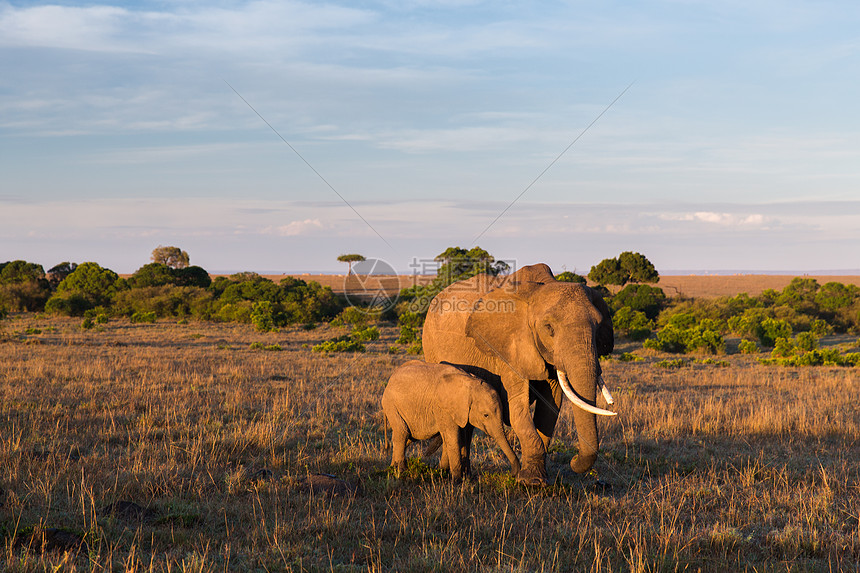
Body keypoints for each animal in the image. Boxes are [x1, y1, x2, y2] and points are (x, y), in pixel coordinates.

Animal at [386, 362, 520, 478]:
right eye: (486, 415)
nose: (512, 474)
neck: (470, 383)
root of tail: (390, 380)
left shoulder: (461, 412)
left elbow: (457, 437)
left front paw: (445, 472)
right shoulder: (443, 408)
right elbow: (453, 437)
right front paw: (457, 480)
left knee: (409, 437)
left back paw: (393, 467)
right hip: (391, 405)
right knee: (402, 433)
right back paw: (400, 471)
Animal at [420, 262, 616, 482]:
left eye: (598, 327)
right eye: (549, 328)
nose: (573, 460)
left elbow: (550, 408)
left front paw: (538, 479)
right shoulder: (510, 347)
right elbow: (518, 409)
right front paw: (531, 482)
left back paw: (464, 474)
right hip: (430, 346)